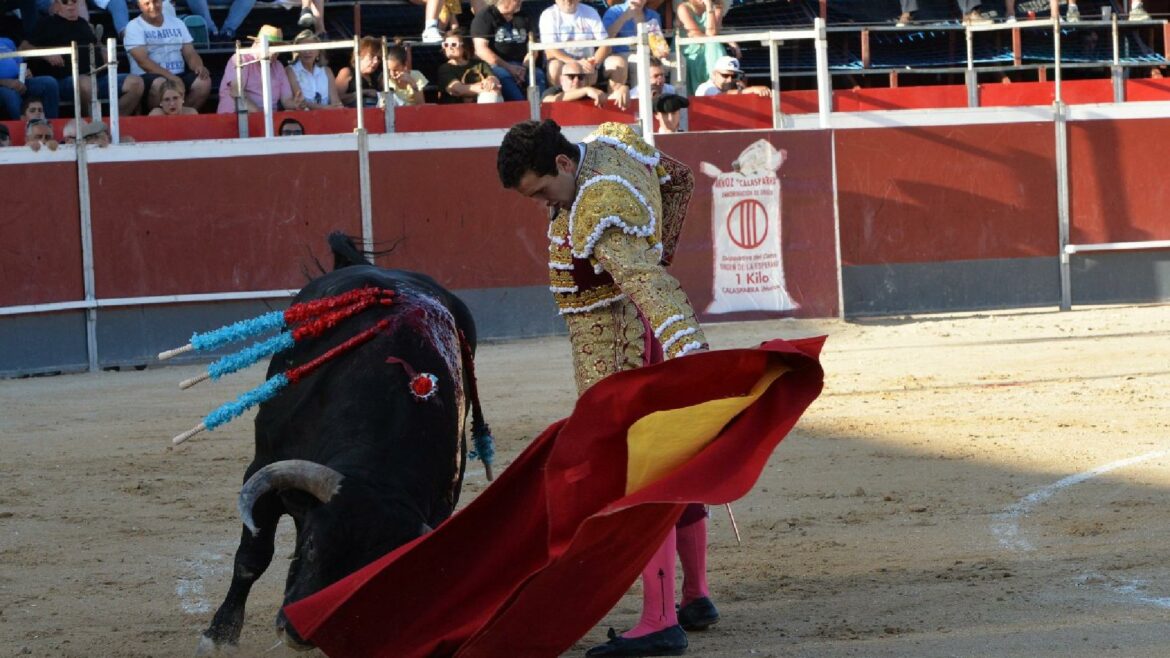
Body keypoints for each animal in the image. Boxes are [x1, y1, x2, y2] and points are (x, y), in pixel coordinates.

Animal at [198, 232, 486, 646]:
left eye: (364, 577)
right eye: (314, 545)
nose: (298, 633)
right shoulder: (264, 466)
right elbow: (252, 557)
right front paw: (220, 634)